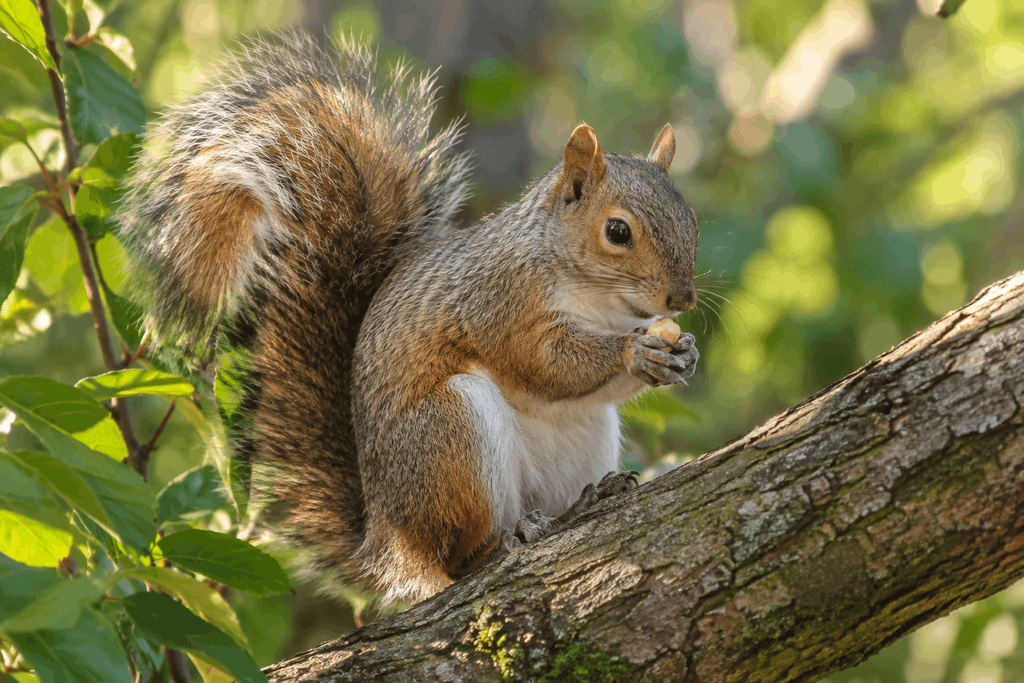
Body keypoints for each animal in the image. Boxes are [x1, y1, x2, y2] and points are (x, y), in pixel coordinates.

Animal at [118, 34, 700, 606]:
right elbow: (542, 361)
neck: (599, 301)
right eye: (618, 232)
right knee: (455, 561)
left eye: (692, 221)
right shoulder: (499, 300)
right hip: (449, 436)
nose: (683, 298)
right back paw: (506, 539)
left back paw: (584, 502)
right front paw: (634, 351)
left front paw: (683, 352)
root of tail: (387, 541)